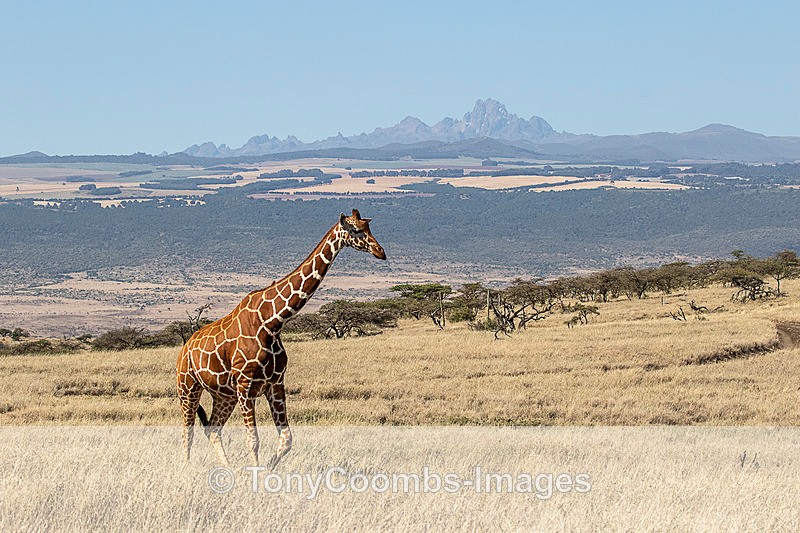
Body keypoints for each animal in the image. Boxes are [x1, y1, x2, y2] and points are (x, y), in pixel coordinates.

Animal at [176, 209, 386, 467]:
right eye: (356, 230)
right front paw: (255, 474)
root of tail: (184, 349)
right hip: (188, 387)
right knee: (187, 431)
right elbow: (253, 440)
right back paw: (186, 467)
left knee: (212, 429)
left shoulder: (275, 383)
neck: (272, 322)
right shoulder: (245, 385)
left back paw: (229, 468)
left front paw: (267, 468)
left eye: (369, 227)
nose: (380, 252)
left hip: (224, 395)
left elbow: (287, 439)